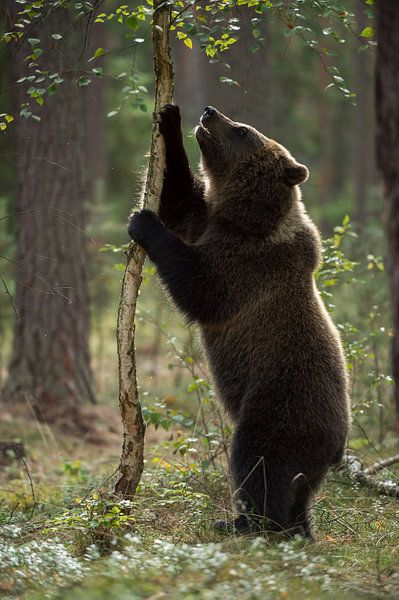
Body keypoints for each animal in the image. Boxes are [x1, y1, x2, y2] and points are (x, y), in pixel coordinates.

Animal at [130, 104, 352, 540]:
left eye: (245, 130)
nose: (210, 111)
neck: (246, 218)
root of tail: (338, 448)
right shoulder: (206, 220)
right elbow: (178, 199)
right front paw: (169, 117)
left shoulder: (249, 266)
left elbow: (201, 288)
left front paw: (143, 221)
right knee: (298, 489)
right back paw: (297, 527)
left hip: (280, 407)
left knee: (259, 462)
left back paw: (244, 522)